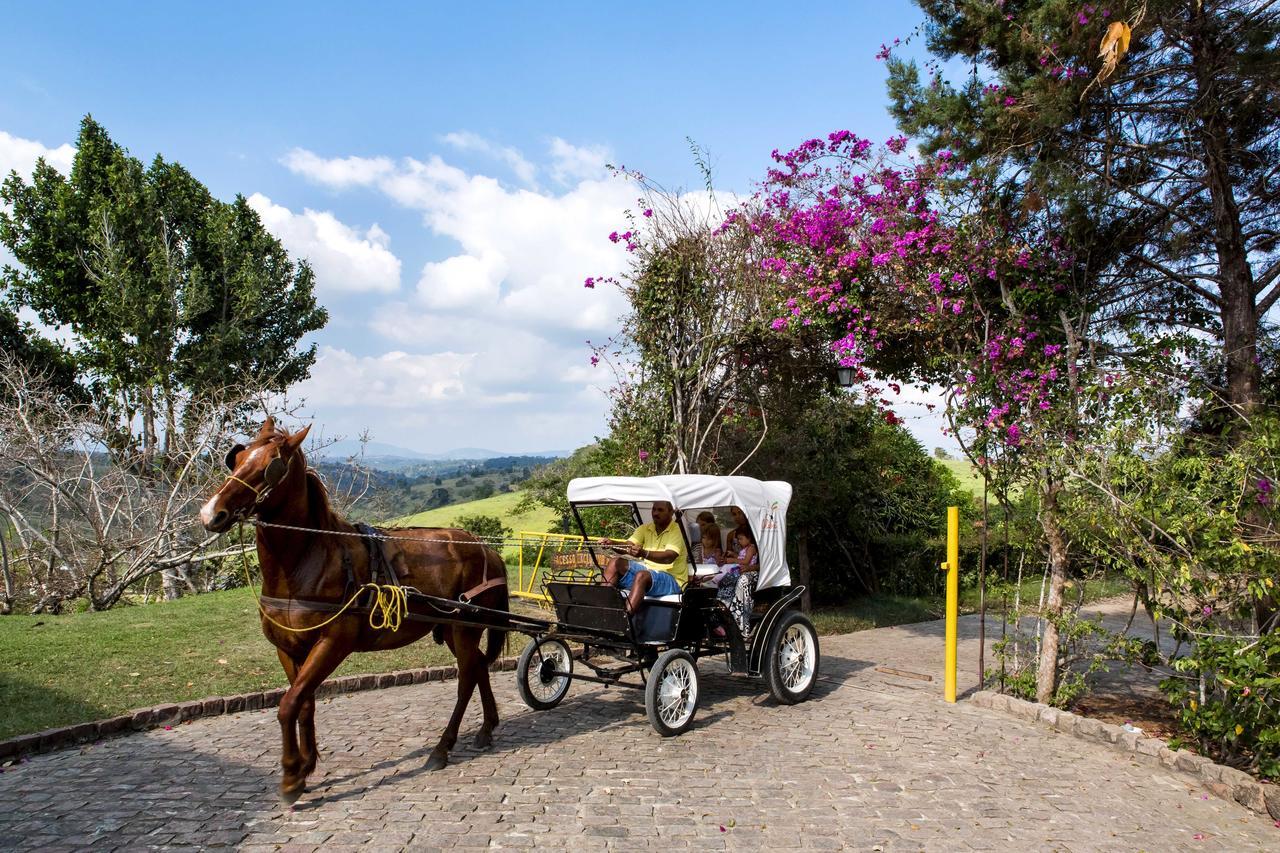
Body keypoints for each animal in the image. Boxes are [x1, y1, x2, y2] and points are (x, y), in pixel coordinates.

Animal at [197, 414, 506, 799]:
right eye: (237, 459)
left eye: (270, 466)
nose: (211, 513)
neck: (307, 558)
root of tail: (485, 547)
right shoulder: (288, 648)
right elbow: (304, 701)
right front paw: (306, 765)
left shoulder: (333, 642)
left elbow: (288, 704)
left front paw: (291, 776)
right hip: (450, 628)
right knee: (478, 666)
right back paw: (486, 728)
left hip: (464, 626)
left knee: (466, 678)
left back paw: (442, 747)